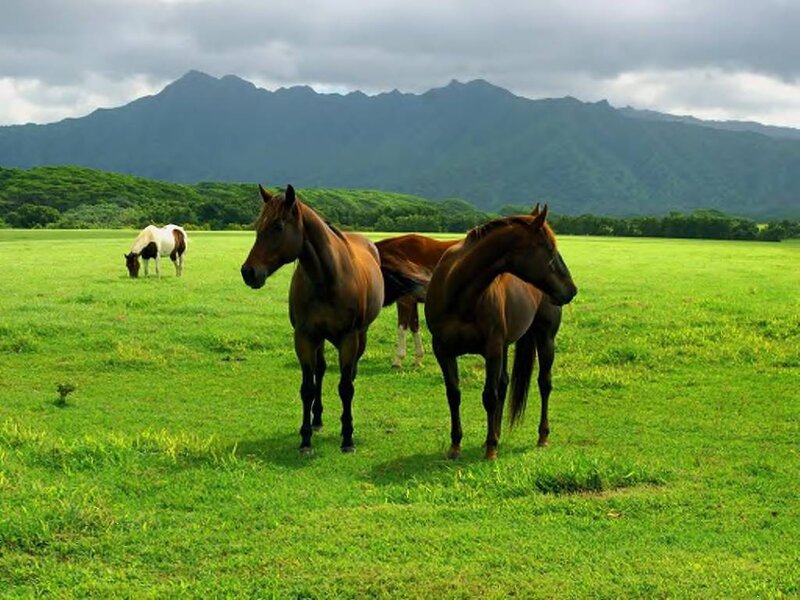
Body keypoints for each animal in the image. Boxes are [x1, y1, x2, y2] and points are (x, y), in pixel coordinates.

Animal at [241, 184, 421, 453]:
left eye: (278, 227)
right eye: (257, 226)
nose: (248, 272)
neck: (326, 279)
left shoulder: (348, 338)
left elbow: (346, 387)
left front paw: (347, 438)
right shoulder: (305, 337)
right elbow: (308, 387)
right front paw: (305, 439)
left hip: (360, 336)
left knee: (351, 374)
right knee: (321, 370)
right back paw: (317, 420)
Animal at [375, 234, 459, 367]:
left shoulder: (404, 301)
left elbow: (402, 328)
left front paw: (398, 360)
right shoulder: (412, 301)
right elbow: (414, 326)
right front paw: (418, 359)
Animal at [424, 205, 578, 460]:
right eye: (548, 248)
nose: (571, 290)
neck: (459, 293)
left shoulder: (492, 349)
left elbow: (490, 396)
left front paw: (490, 449)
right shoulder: (443, 350)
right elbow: (454, 395)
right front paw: (455, 446)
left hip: (545, 339)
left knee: (544, 384)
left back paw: (541, 436)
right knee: (504, 384)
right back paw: (495, 433)